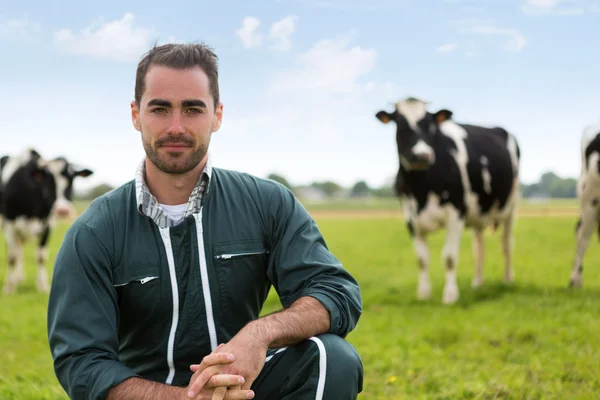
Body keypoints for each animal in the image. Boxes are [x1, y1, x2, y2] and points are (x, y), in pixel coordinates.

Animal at [0, 147, 93, 294]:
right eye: (49, 180)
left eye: (71, 180)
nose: (62, 210)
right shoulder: (10, 223)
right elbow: (11, 257)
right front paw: (9, 288)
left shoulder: (47, 224)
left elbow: (41, 257)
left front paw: (43, 286)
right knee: (14, 250)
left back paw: (19, 277)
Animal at [376, 97, 520, 304]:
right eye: (401, 124)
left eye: (430, 125)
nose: (421, 155)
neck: (421, 189)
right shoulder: (411, 220)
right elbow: (422, 260)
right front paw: (424, 294)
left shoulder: (456, 214)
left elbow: (449, 258)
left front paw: (450, 296)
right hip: (479, 212)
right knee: (479, 247)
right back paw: (477, 283)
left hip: (511, 206)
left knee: (507, 244)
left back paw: (508, 280)